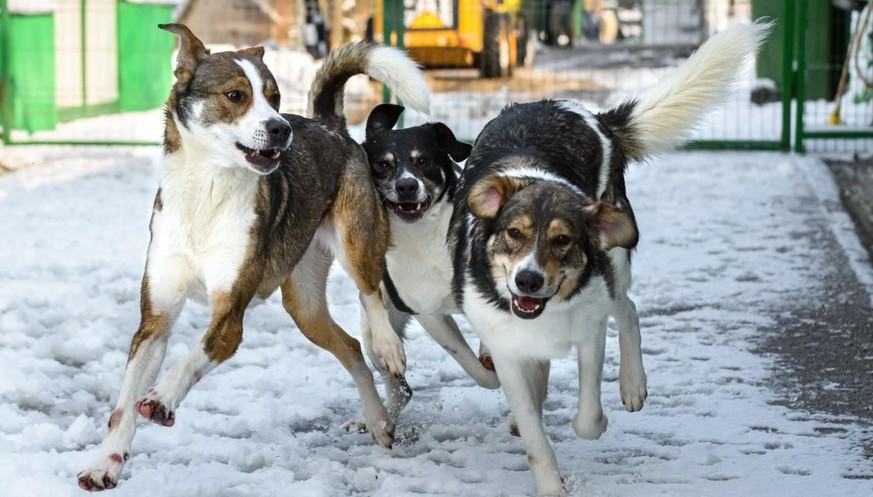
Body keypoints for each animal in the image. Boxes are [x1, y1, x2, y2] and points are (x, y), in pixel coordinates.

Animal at [77, 25, 430, 490]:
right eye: (235, 95)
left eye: (275, 97)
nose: (281, 128)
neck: (205, 191)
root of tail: (329, 125)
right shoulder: (155, 319)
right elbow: (123, 404)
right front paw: (106, 463)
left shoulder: (230, 317)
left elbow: (191, 359)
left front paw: (164, 397)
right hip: (304, 305)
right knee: (352, 348)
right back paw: (377, 420)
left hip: (357, 238)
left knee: (369, 292)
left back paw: (388, 347)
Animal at [360, 105, 498, 418]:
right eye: (383, 164)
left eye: (423, 160)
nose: (406, 186)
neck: (427, 236)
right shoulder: (428, 312)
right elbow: (470, 363)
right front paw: (492, 373)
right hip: (372, 335)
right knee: (400, 389)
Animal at [446, 21, 768, 494]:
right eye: (514, 234)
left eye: (563, 240)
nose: (527, 281)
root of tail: (589, 113)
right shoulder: (508, 352)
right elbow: (535, 437)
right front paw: (548, 479)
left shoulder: (590, 330)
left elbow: (586, 418)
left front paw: (597, 422)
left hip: (614, 259)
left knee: (629, 309)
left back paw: (633, 386)